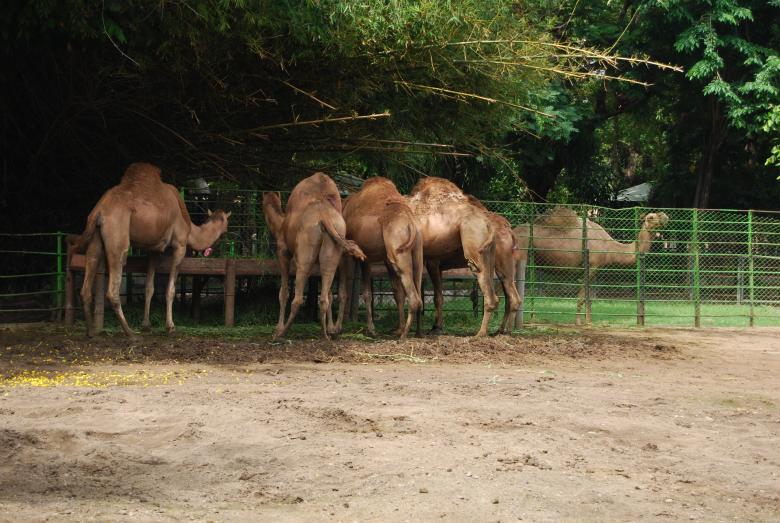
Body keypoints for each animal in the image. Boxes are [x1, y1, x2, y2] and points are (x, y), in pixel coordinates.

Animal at [71, 163, 230, 337]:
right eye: (226, 226)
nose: (226, 236)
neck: (190, 229)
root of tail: (99, 211)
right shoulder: (180, 245)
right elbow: (170, 289)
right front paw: (170, 327)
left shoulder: (154, 250)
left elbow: (149, 287)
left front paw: (146, 325)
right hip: (117, 238)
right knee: (112, 289)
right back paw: (130, 333)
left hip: (95, 240)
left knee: (86, 287)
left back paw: (91, 332)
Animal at [262, 172, 366, 340]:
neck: (280, 224)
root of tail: (324, 217)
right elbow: (329, 293)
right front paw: (331, 328)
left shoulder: (283, 251)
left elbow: (283, 292)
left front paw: (278, 328)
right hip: (334, 249)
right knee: (327, 296)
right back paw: (327, 334)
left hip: (305, 253)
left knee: (298, 299)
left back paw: (282, 334)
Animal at [333, 177, 424, 338]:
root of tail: (411, 223)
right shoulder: (367, 257)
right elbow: (371, 293)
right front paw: (372, 329)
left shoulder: (346, 252)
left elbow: (344, 292)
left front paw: (337, 329)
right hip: (417, 253)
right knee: (416, 289)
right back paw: (414, 332)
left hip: (397, 254)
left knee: (414, 297)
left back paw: (403, 336)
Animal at [405, 177, 498, 337]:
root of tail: (487, 222)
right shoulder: (432, 260)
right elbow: (436, 296)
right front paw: (435, 328)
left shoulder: (427, 260)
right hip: (490, 254)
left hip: (474, 245)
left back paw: (480, 333)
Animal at [513, 206, 669, 325]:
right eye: (650, 217)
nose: (664, 215)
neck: (609, 247)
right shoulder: (591, 266)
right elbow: (583, 297)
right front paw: (580, 322)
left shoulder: (596, 269)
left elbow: (590, 298)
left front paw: (588, 320)